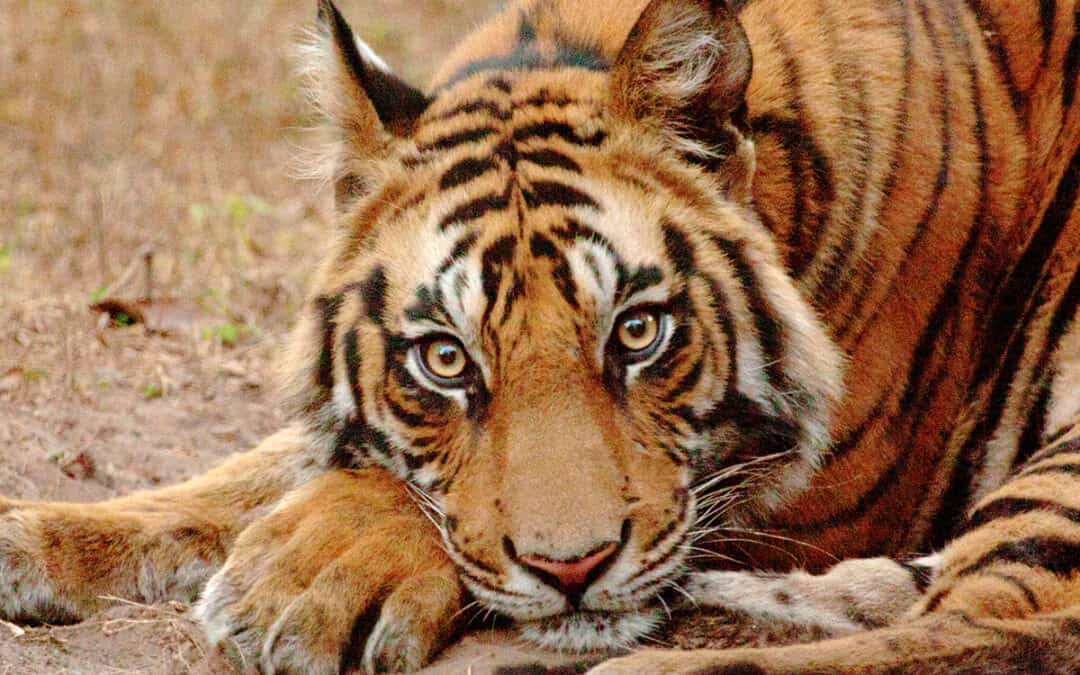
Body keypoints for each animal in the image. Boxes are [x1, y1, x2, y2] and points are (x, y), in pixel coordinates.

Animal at [2, 0, 1079, 672]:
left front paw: (299, 581)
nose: (574, 574)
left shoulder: (825, 488)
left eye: (638, 333)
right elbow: (232, 480)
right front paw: (34, 534)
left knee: (1004, 625)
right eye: (445, 358)